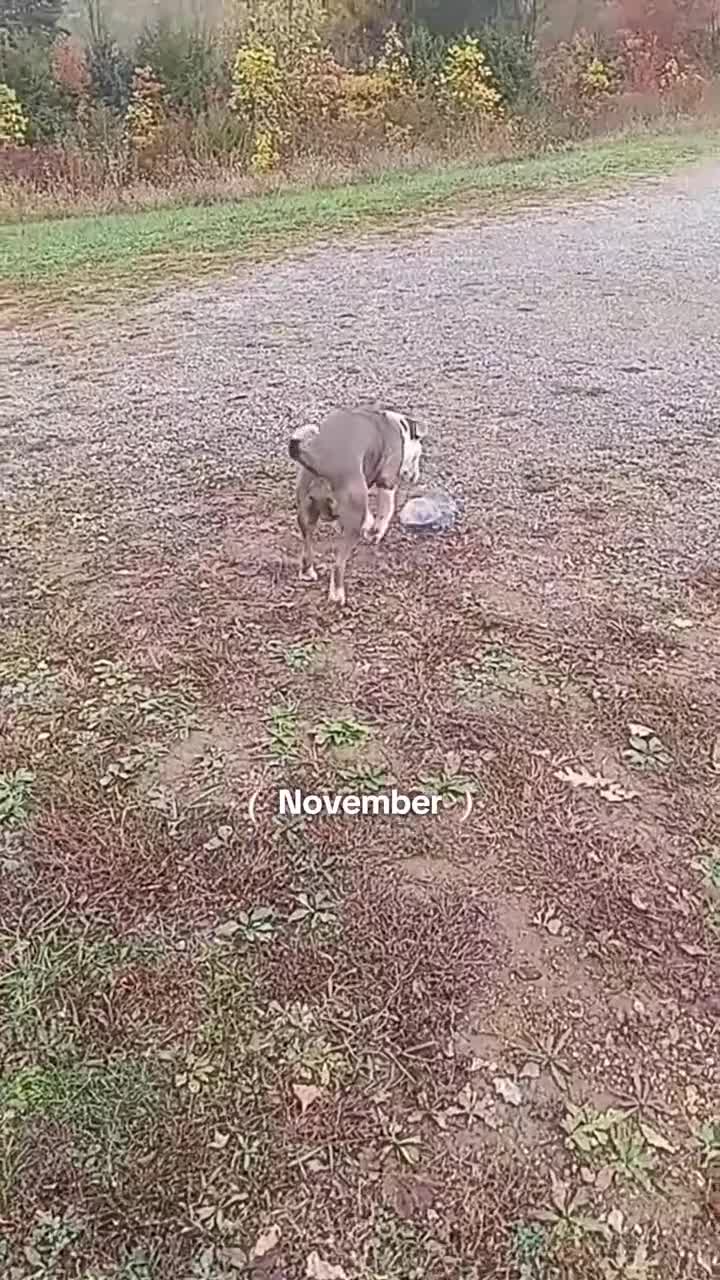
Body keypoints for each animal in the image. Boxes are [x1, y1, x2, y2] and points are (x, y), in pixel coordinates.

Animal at [289, 404, 424, 606]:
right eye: (417, 457)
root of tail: (320, 462)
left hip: (306, 516)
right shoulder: (387, 483)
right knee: (338, 565)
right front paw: (375, 532)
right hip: (352, 523)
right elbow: (384, 514)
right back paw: (337, 594)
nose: (415, 476)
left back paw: (307, 572)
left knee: (307, 545)